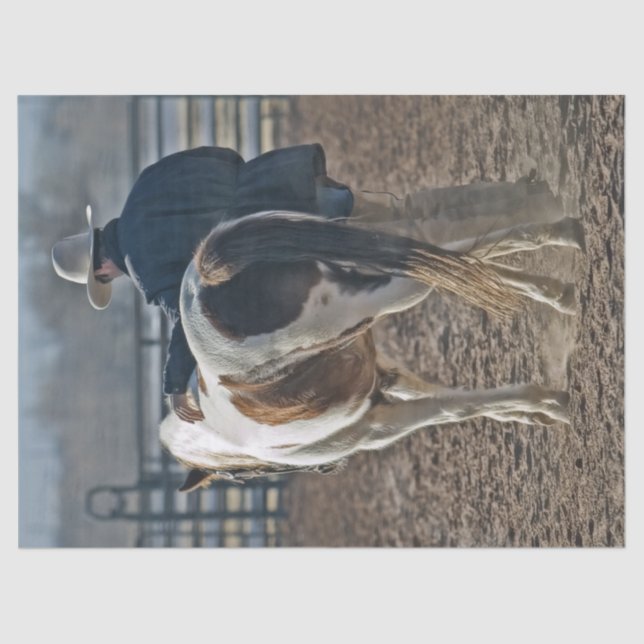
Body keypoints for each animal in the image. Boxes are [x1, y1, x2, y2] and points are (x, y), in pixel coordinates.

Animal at [159, 181, 585, 492]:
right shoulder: (383, 378)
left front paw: (549, 405)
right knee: (460, 255)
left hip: (384, 289)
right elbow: (451, 398)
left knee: (457, 258)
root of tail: (204, 278)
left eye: (241, 475)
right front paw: (533, 410)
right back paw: (563, 262)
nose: (328, 468)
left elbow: (451, 409)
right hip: (370, 255)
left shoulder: (378, 428)